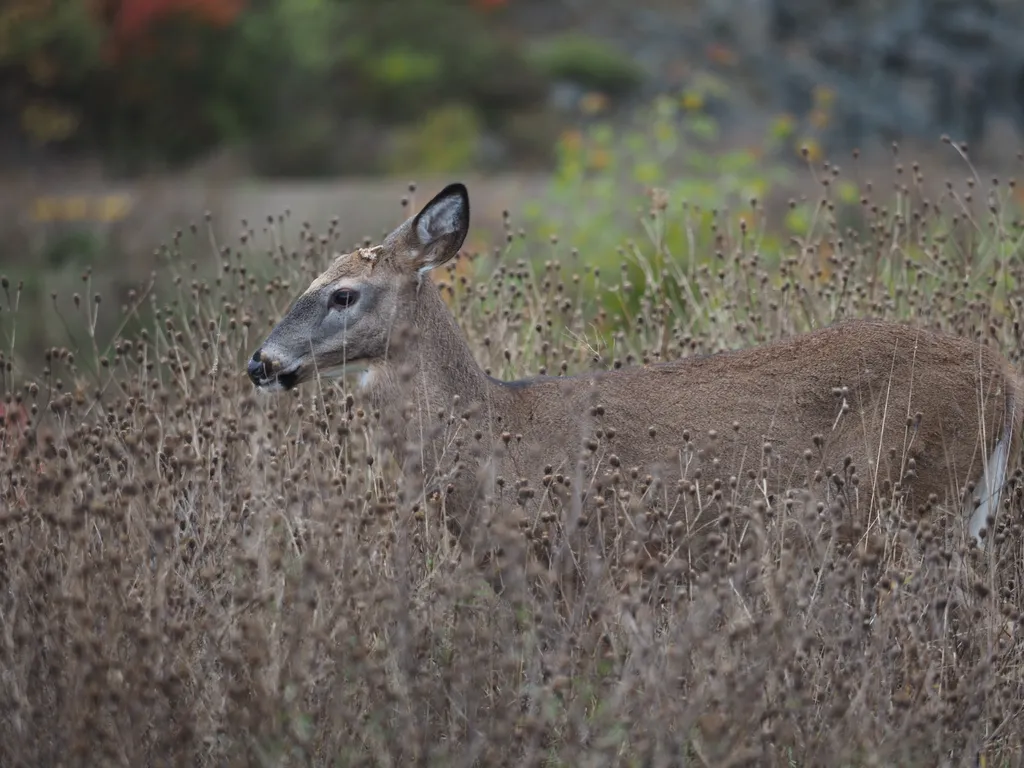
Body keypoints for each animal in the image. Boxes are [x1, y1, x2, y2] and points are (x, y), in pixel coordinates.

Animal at [249, 183, 1024, 598]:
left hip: (909, 504)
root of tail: (1003, 381)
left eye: (344, 294)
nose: (260, 361)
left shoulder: (582, 564)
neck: (495, 431)